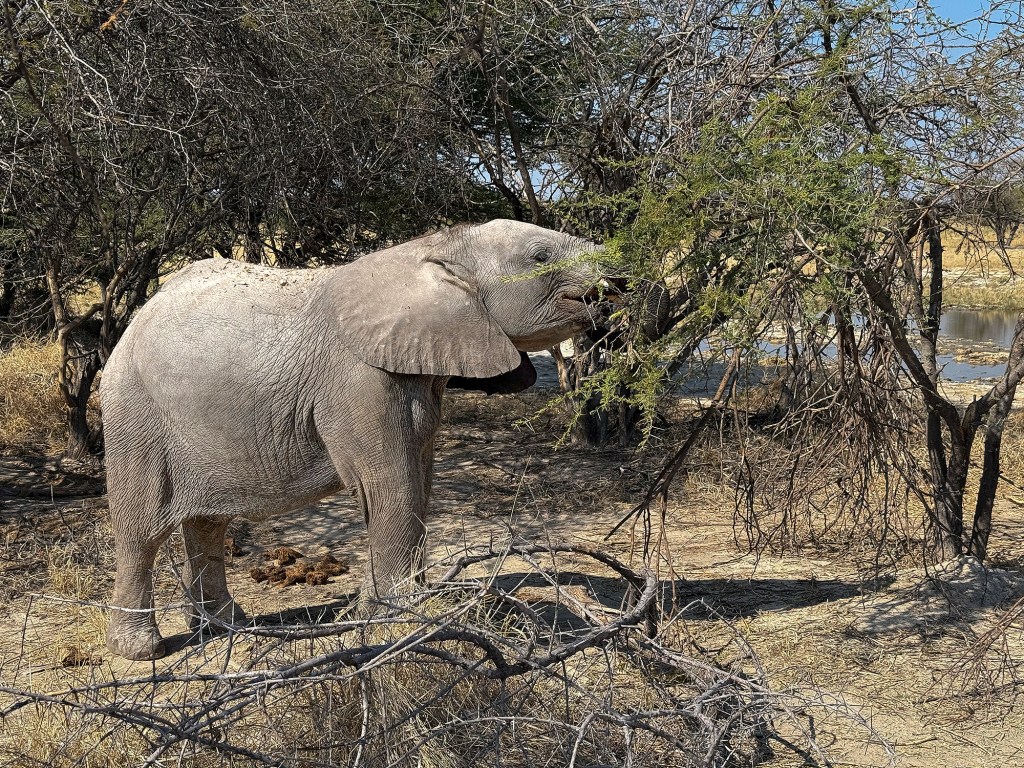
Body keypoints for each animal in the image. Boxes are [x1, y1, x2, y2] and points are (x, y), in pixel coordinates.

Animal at [101, 219, 611, 660]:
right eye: (540, 256)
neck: (436, 248)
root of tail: (135, 322)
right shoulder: (357, 379)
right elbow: (390, 484)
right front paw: (400, 619)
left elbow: (420, 482)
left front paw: (388, 607)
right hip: (135, 415)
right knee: (141, 530)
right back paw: (143, 650)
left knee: (206, 523)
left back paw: (228, 627)